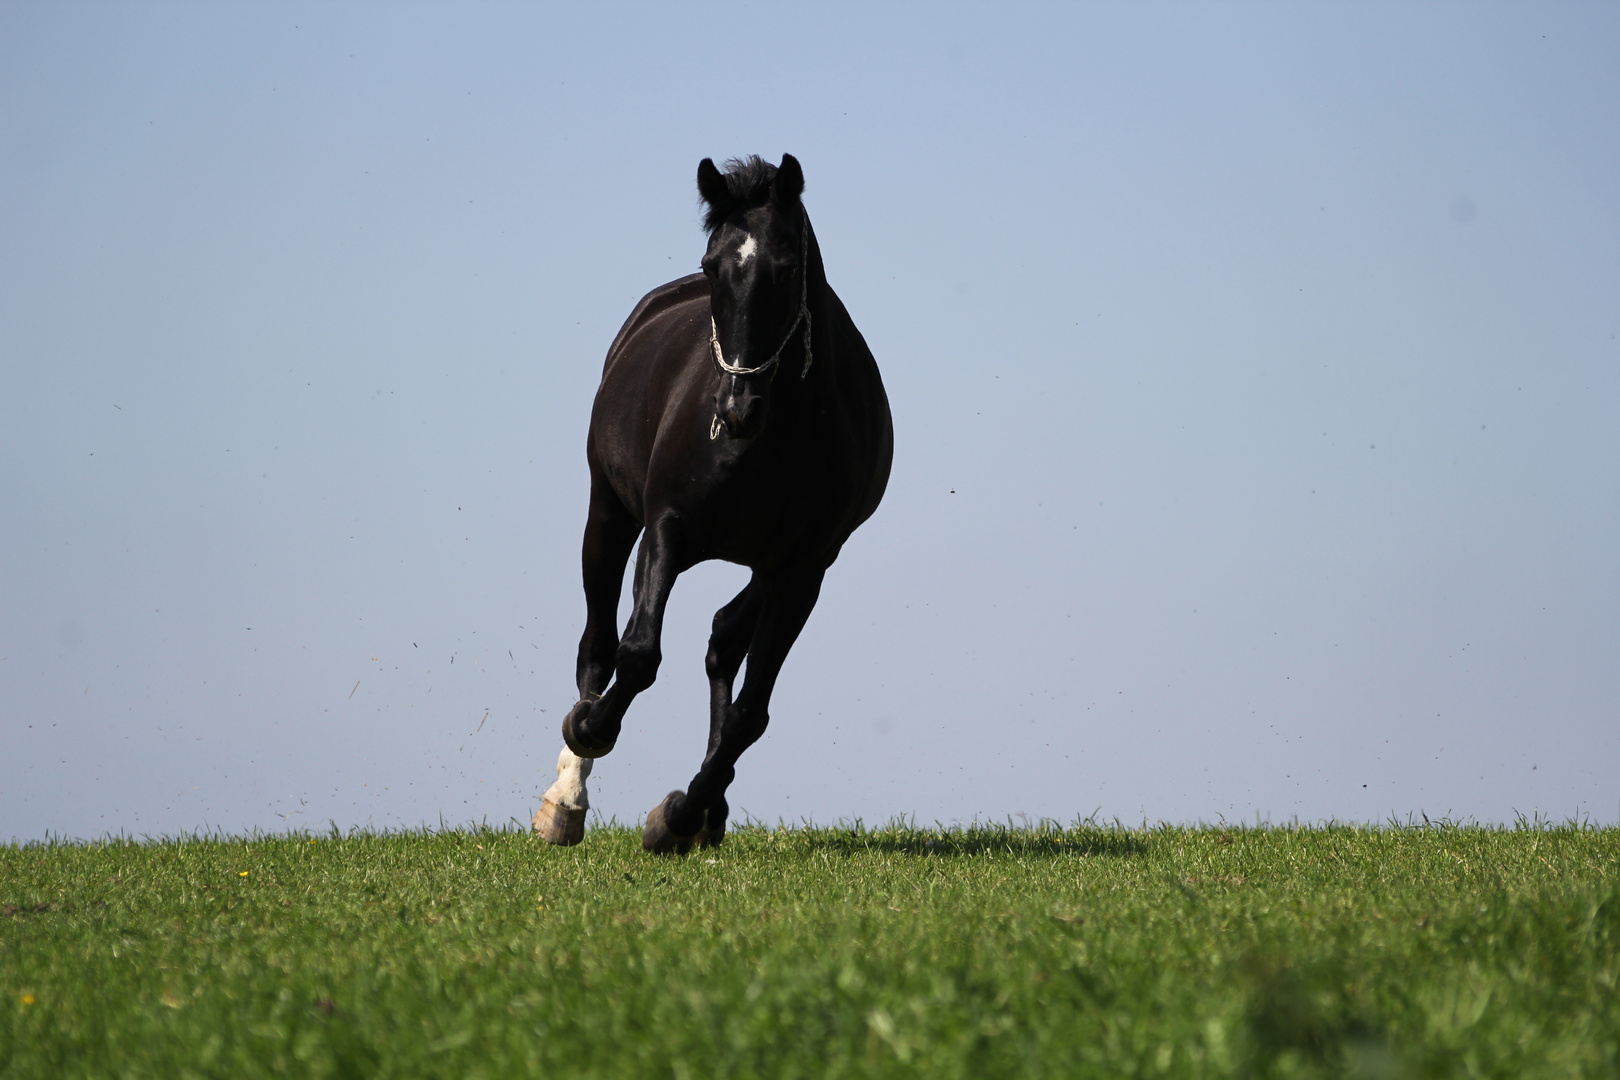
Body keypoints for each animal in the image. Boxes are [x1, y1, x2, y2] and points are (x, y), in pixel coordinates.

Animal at [531, 156, 894, 854]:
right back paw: (567, 795)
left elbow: (751, 711)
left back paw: (705, 810)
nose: (735, 409)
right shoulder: (666, 531)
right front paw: (591, 730)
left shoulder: (802, 571)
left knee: (724, 638)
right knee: (598, 642)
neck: (775, 440)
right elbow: (638, 654)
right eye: (711, 265)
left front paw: (680, 814)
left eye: (785, 264)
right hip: (609, 514)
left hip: (764, 567)